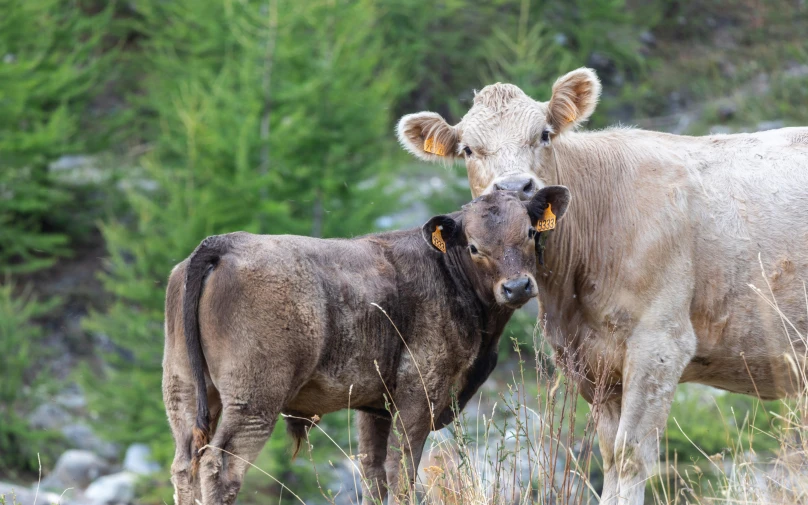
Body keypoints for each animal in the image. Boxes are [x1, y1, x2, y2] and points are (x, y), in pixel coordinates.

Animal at [163, 186, 568, 504]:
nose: (517, 286)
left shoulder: (376, 406)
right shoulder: (419, 393)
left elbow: (374, 473)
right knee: (219, 466)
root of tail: (226, 242)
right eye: (473, 246)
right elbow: (401, 471)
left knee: (185, 464)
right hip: (254, 400)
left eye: (529, 232)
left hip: (185, 391)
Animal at [396, 68, 808, 504]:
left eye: (544, 134)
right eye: (469, 150)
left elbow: (630, 455)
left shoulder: (661, 343)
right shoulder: (590, 360)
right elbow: (609, 455)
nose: (514, 187)